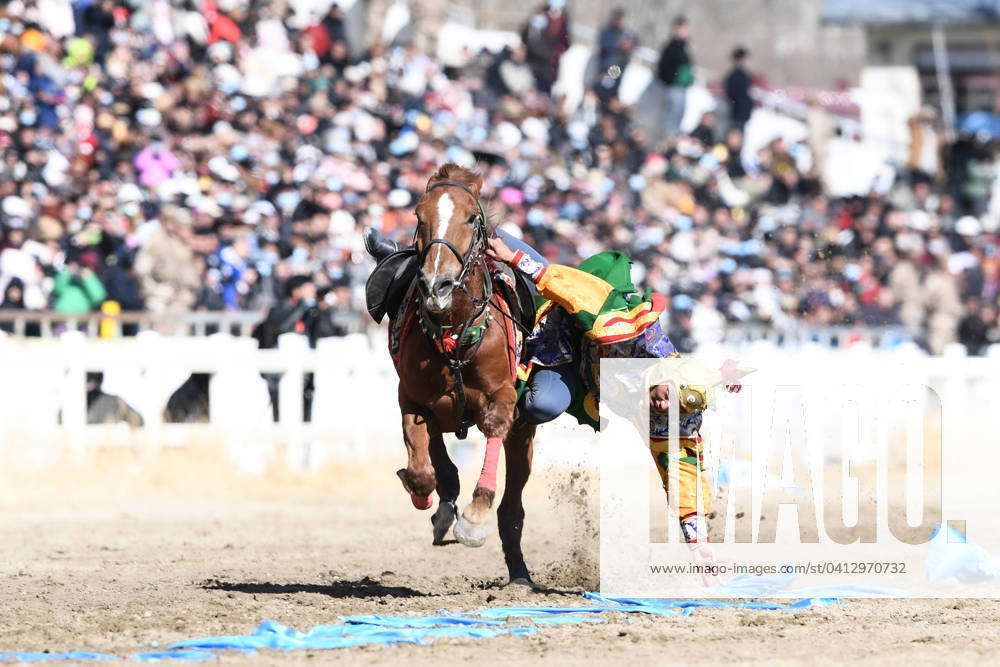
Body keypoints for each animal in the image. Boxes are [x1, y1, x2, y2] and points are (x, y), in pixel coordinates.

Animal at [394, 163, 540, 584]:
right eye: (418, 216)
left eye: (472, 217)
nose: (436, 284)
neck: (454, 331)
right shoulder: (411, 398)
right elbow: (422, 467)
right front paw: (424, 493)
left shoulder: (503, 395)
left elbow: (493, 426)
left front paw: (475, 516)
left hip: (524, 435)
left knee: (512, 504)